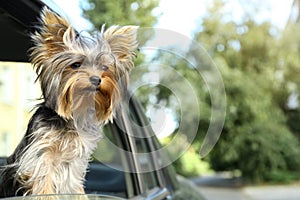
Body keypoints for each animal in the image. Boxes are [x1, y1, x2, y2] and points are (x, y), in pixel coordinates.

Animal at [0, 7, 138, 197]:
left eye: (104, 68)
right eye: (76, 65)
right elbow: (43, 181)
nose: (96, 79)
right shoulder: (41, 154)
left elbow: (74, 183)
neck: (74, 114)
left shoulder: (74, 162)